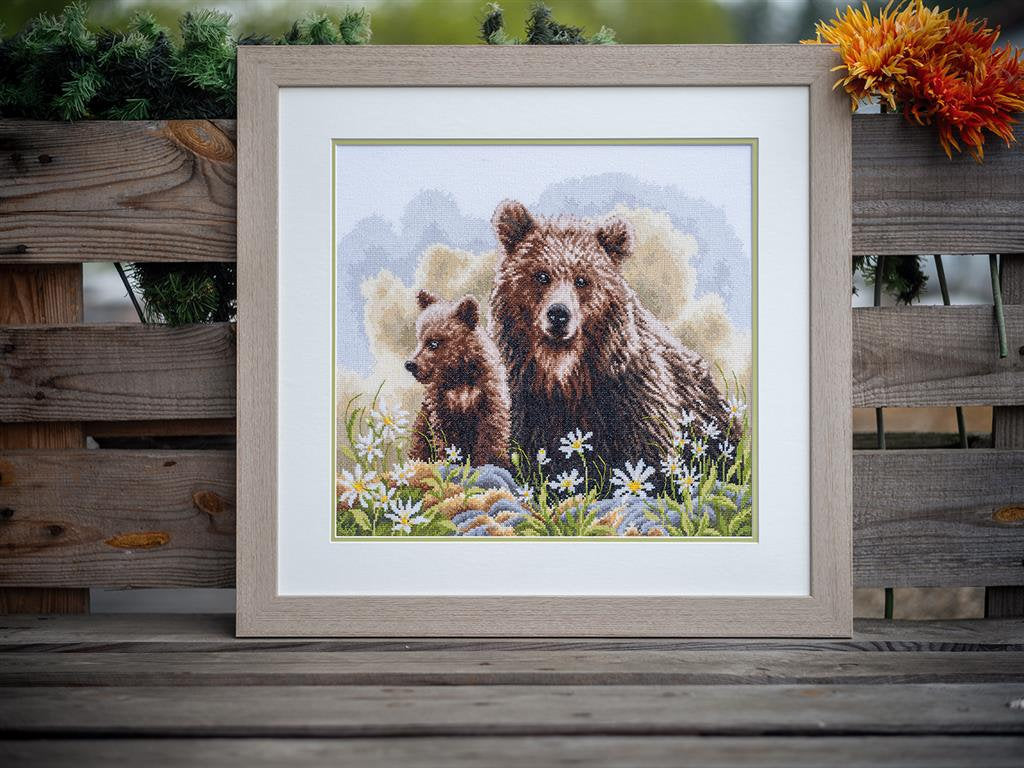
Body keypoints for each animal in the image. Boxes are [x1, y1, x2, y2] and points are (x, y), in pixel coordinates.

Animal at [405, 290, 511, 468]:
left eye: (433, 343)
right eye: (419, 339)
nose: (410, 364)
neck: (459, 374)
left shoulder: (488, 396)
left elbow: (490, 433)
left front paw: (489, 463)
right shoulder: (442, 404)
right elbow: (446, 438)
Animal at [487, 199, 733, 476]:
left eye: (582, 280)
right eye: (541, 275)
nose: (559, 314)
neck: (564, 375)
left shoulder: (630, 396)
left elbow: (649, 453)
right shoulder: (524, 402)